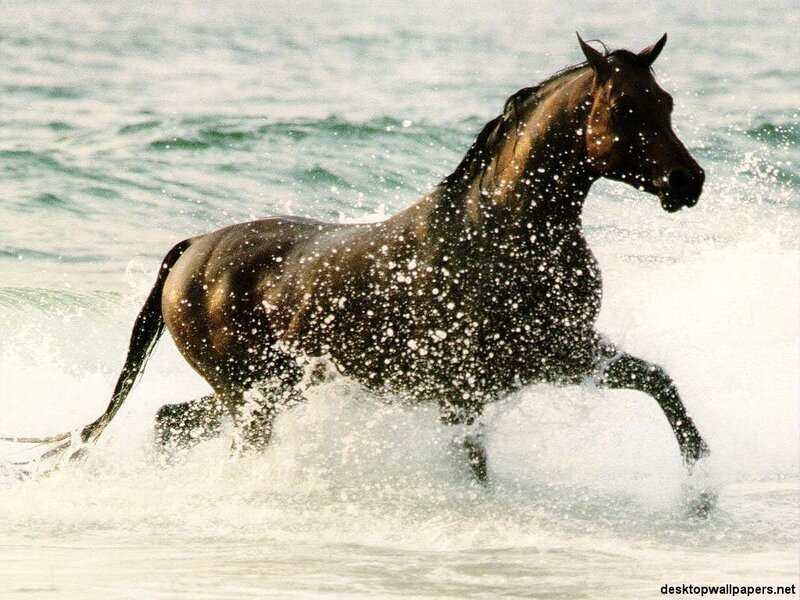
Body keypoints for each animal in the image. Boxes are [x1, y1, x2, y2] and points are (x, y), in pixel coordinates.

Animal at [7, 34, 709, 486]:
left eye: (667, 103)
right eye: (625, 108)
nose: (689, 182)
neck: (501, 233)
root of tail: (191, 251)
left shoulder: (561, 354)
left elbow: (660, 382)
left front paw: (702, 485)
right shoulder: (467, 389)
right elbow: (475, 464)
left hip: (268, 390)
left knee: (169, 422)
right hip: (253, 396)